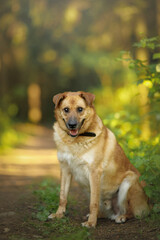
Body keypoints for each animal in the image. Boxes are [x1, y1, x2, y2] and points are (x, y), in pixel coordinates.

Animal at [48, 90, 149, 227]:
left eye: (80, 109)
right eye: (66, 109)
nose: (72, 125)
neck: (75, 141)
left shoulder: (94, 172)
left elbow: (93, 203)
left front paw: (91, 223)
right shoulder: (65, 169)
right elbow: (62, 196)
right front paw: (59, 215)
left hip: (128, 180)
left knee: (129, 211)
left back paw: (122, 217)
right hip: (86, 187)